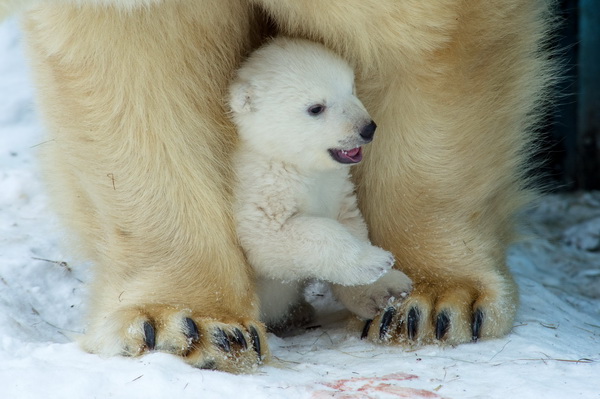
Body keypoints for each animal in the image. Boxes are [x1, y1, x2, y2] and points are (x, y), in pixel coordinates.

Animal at [2, 0, 552, 376]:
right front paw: (186, 325)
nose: (366, 129)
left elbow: (428, 40)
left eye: (349, 91)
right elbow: (134, 74)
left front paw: (430, 302)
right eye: (315, 107)